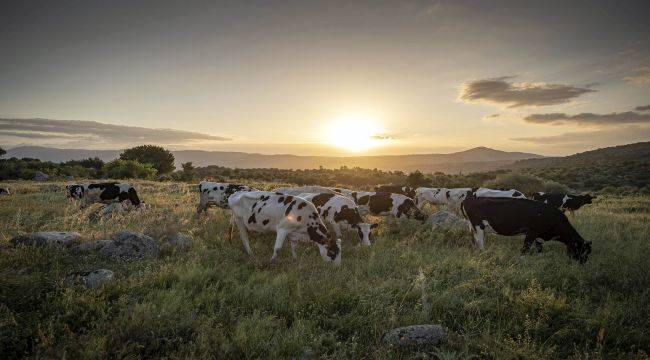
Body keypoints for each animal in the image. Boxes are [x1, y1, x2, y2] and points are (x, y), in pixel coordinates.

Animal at [458, 197, 588, 262]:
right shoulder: (531, 233)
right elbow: (525, 250)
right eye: (582, 250)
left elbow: (539, 249)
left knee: (476, 241)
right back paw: (484, 254)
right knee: (479, 241)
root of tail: (468, 199)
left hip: (475, 227)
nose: (583, 262)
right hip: (478, 226)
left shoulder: (538, 236)